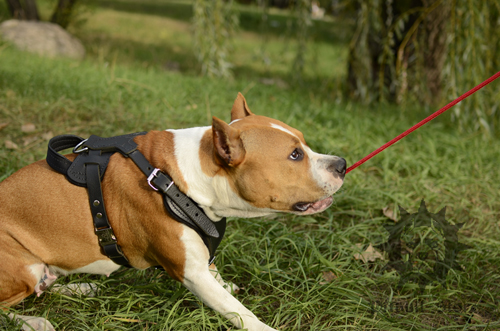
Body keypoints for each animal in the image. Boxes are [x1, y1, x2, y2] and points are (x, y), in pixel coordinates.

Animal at [0, 93, 346, 331]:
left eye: (304, 143)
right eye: (295, 155)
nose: (342, 164)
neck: (183, 178)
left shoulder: (202, 255)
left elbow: (220, 280)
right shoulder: (191, 273)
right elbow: (239, 312)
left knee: (46, 285)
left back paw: (81, 287)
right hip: (22, 266)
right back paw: (33, 322)